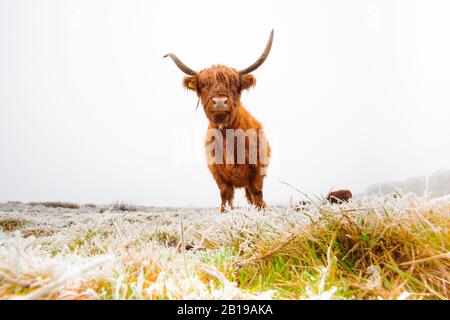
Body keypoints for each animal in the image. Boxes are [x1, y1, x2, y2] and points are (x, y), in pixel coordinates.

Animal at [163, 30, 272, 212]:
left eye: (234, 83)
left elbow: (258, 195)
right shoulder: (218, 174)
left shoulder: (257, 170)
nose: (220, 102)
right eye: (204, 84)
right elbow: (225, 197)